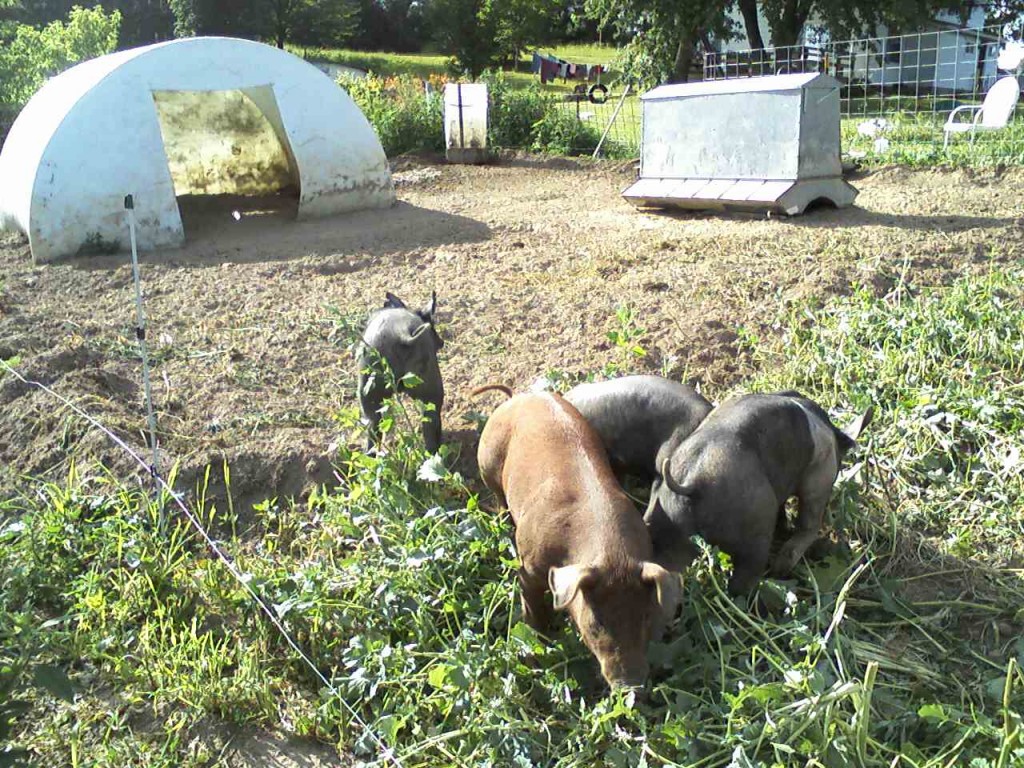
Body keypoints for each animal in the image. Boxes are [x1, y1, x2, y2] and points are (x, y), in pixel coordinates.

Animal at [357, 291, 444, 453]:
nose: (442, 342)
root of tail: (401, 334)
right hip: (432, 391)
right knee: (430, 426)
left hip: (370, 398)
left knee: (373, 432)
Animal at [474, 383, 681, 690]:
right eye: (596, 624)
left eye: (645, 617)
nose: (630, 685)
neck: (611, 553)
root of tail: (517, 397)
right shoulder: (528, 568)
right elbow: (532, 612)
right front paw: (538, 652)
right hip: (488, 466)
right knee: (499, 500)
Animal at [643, 391, 873, 594]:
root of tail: (692, 483)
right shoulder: (818, 479)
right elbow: (809, 523)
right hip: (755, 530)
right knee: (745, 577)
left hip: (665, 517)